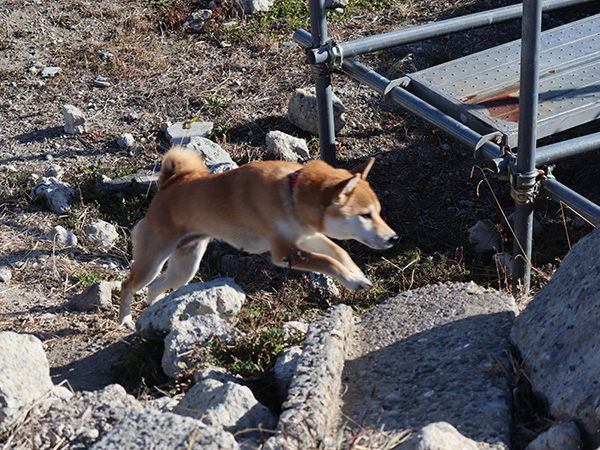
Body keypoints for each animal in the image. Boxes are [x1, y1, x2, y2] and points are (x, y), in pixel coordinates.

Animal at [117, 148, 398, 326]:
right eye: (365, 215)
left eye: (378, 212)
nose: (394, 238)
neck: (291, 193)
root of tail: (166, 187)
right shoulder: (284, 252)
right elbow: (328, 261)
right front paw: (352, 279)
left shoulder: (304, 237)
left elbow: (338, 252)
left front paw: (356, 274)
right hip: (152, 262)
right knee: (128, 286)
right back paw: (126, 320)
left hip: (185, 267)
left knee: (155, 288)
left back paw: (154, 310)